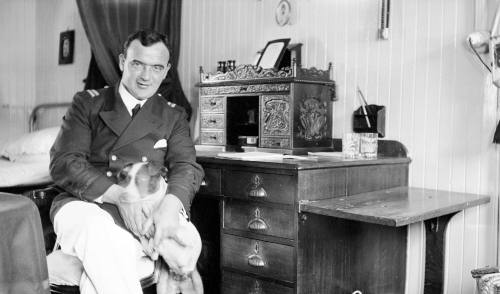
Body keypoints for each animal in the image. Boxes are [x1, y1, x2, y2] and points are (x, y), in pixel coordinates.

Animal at [116, 162, 204, 292]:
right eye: (125, 178)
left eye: (140, 180)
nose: (122, 196)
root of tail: (180, 280)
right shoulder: (152, 251)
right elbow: (149, 246)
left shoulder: (188, 237)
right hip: (163, 288)